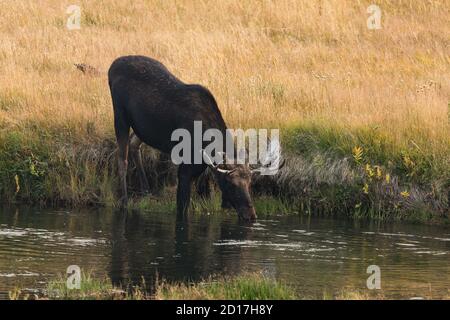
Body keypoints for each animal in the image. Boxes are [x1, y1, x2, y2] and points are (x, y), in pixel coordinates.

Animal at [107, 55, 280, 220]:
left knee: (134, 144)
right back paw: (124, 200)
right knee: (122, 157)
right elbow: (182, 209)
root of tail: (112, 67)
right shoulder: (184, 169)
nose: (251, 215)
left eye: (250, 183)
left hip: (142, 128)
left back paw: (146, 191)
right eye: (231, 184)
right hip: (120, 115)